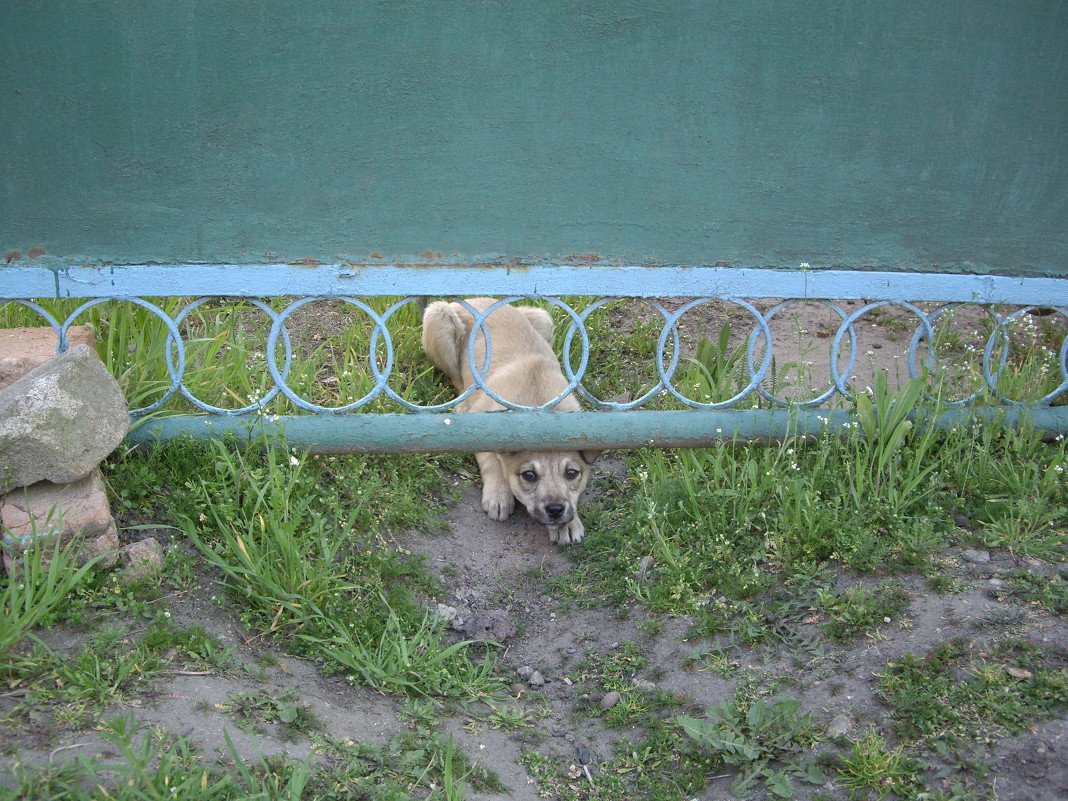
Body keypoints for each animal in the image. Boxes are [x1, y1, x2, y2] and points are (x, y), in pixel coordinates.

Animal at [420, 299, 598, 551]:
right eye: (529, 476)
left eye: (572, 473)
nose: (555, 510)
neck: (536, 404)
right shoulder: (480, 423)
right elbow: (493, 461)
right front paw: (498, 494)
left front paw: (569, 523)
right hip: (439, 316)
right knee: (458, 380)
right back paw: (462, 403)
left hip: (542, 318)